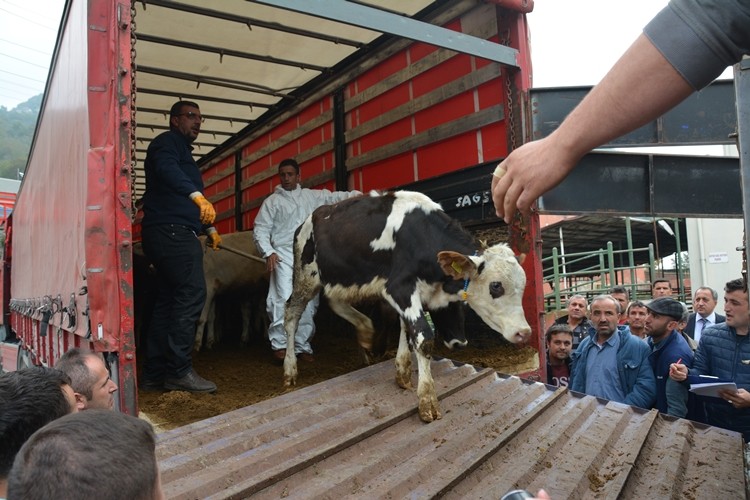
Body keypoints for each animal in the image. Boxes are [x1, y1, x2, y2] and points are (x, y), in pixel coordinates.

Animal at [284, 191, 536, 422]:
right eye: (496, 286)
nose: (524, 332)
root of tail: (308, 220)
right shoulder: (399, 287)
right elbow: (423, 337)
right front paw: (427, 399)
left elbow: (406, 327)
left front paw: (402, 371)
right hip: (306, 277)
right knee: (291, 314)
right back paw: (290, 369)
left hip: (342, 276)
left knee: (335, 301)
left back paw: (365, 331)